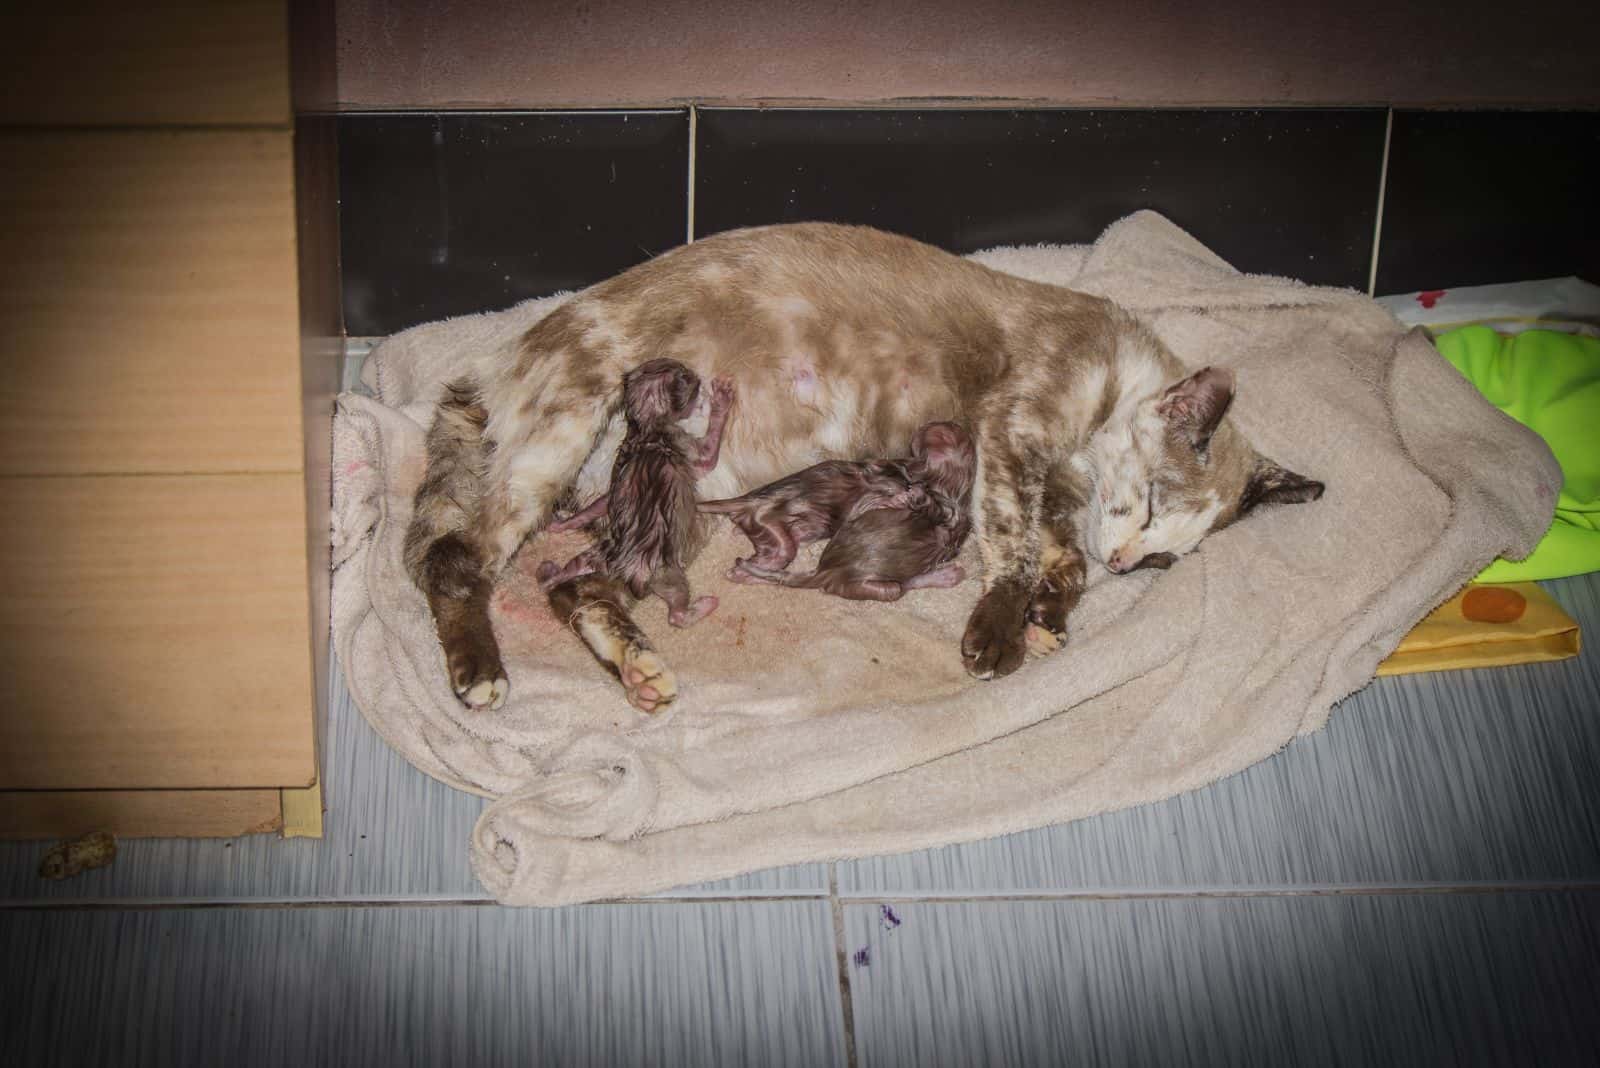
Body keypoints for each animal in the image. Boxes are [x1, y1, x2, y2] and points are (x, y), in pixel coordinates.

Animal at [403, 223, 1324, 709]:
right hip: (568, 439)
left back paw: (640, 668)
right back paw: (481, 674)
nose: (1135, 560)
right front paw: (1001, 635)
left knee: (575, 583)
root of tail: (494, 360)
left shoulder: (1057, 490)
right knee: (455, 560)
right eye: (1155, 498)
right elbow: (1016, 549)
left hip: (668, 508)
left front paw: (1050, 619)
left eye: (1169, 556)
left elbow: (1064, 565)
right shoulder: (1012, 435)